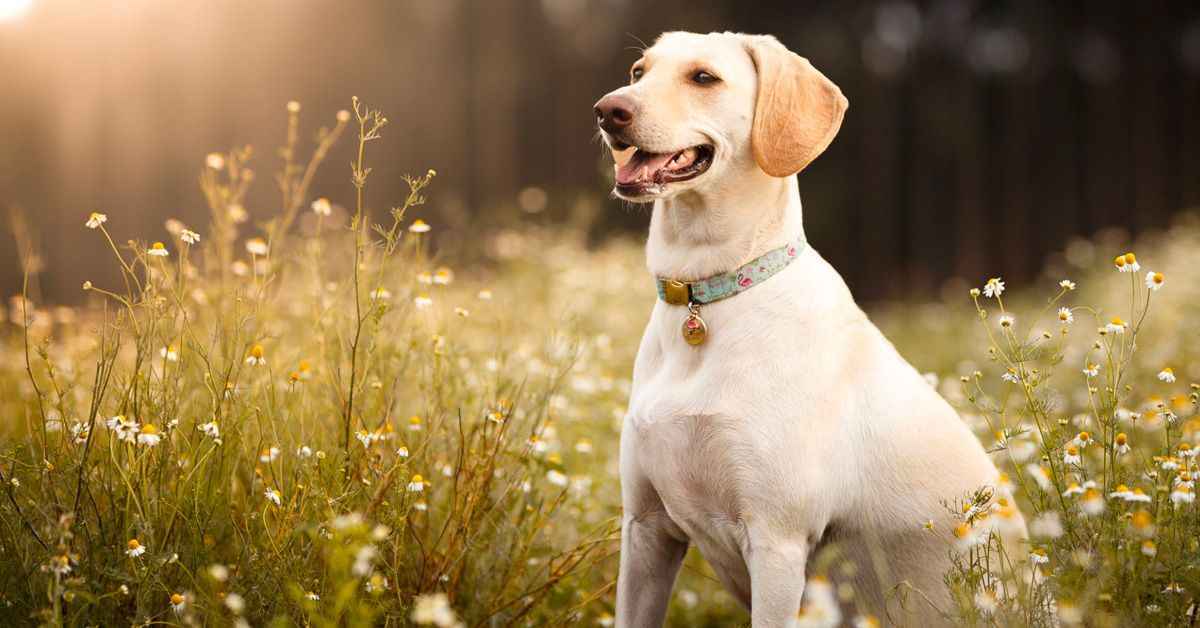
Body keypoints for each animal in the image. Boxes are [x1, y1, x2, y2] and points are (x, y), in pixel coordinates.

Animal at [595, 30, 1027, 628]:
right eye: (639, 72)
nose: (607, 109)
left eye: (704, 77)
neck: (707, 295)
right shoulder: (646, 530)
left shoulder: (776, 543)